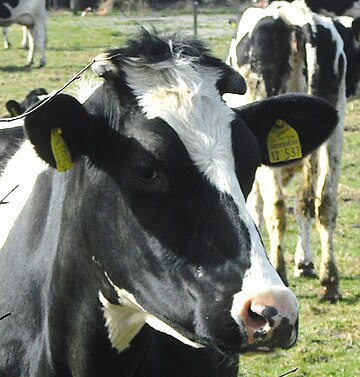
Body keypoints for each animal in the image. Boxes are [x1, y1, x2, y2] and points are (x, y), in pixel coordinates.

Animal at [226, 0, 358, 300]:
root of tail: (299, 20)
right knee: (322, 200)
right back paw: (329, 281)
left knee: (277, 205)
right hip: (335, 123)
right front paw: (305, 263)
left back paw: (280, 271)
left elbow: (256, 205)